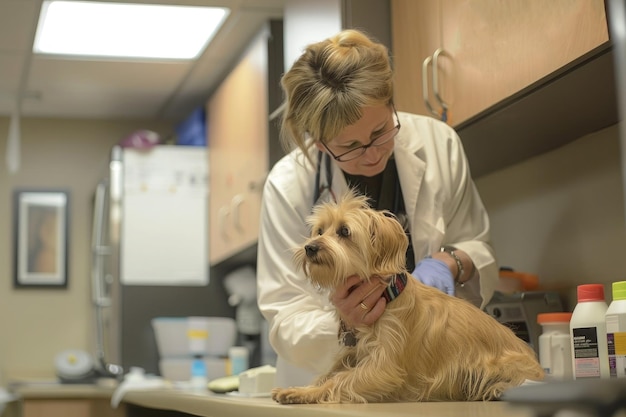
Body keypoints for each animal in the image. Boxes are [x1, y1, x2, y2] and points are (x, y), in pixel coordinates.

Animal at [272, 192, 540, 404]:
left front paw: (307, 393)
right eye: (319, 230)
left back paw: (498, 389)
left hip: (504, 365)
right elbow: (329, 373)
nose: (310, 247)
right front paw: (301, 389)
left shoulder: (383, 366)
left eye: (344, 231)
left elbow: (341, 380)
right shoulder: (355, 351)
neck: (387, 295)